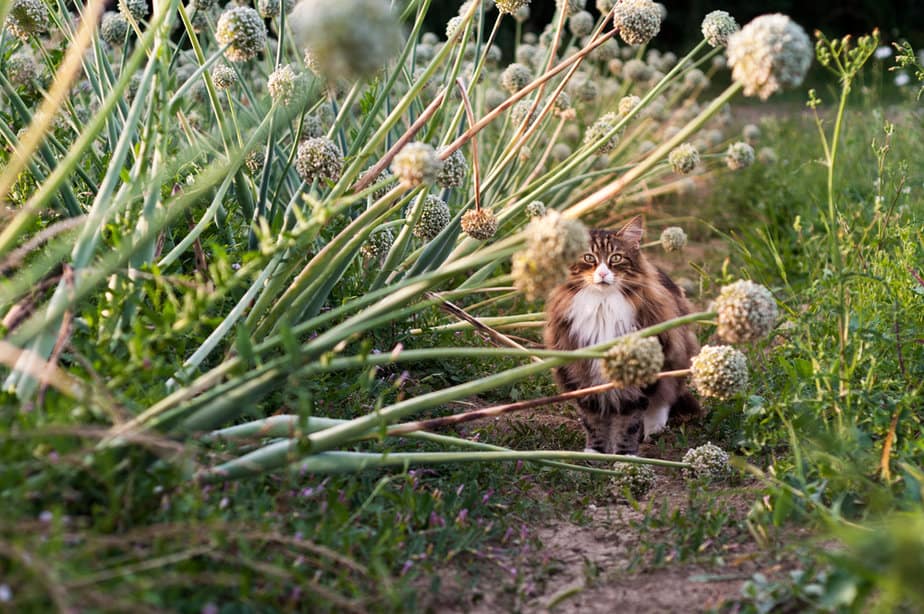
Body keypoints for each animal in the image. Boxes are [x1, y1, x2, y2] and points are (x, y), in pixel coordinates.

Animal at [540, 218, 700, 458]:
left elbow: (629, 420)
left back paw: (653, 430)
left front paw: (626, 456)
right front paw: (594, 452)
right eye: (589, 257)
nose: (603, 274)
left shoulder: (642, 371)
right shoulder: (582, 371)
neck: (602, 305)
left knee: (664, 399)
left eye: (616, 258)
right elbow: (593, 419)